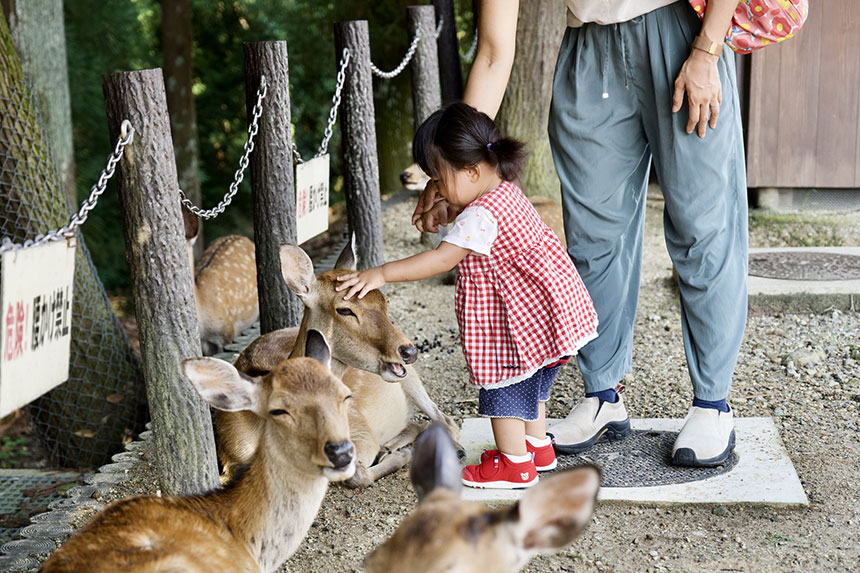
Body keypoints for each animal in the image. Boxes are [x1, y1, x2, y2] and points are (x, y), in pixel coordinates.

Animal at [220, 237, 464, 488]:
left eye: (384, 300)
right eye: (344, 309)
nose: (409, 351)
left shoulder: (358, 428)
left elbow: (356, 473)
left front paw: (402, 455)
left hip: (411, 378)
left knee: (445, 419)